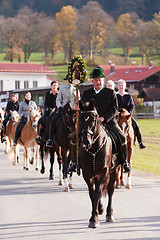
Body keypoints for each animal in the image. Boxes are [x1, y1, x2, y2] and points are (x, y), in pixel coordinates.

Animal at [78, 100, 118, 229]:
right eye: (80, 118)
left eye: (93, 118)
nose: (86, 141)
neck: (94, 148)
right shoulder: (87, 173)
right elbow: (92, 193)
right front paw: (94, 215)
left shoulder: (105, 171)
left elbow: (98, 193)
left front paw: (94, 220)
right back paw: (100, 208)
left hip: (114, 170)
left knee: (110, 190)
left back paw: (109, 214)